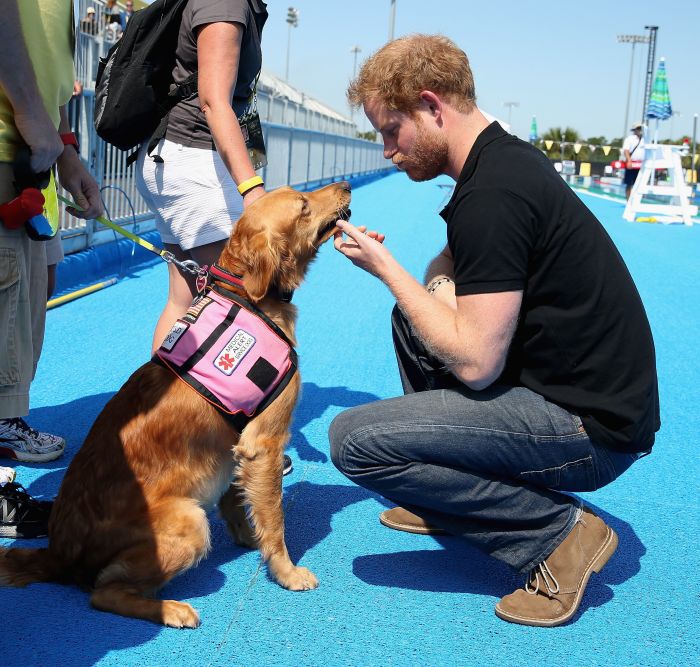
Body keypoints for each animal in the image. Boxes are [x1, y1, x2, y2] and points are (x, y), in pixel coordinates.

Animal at [0, 181, 350, 628]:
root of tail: (58, 552)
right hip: (190, 522)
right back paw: (171, 609)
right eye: (303, 206)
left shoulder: (236, 446)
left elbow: (239, 502)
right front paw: (285, 571)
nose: (345, 185)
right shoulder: (264, 444)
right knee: (103, 592)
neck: (246, 296)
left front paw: (248, 537)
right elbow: (275, 522)